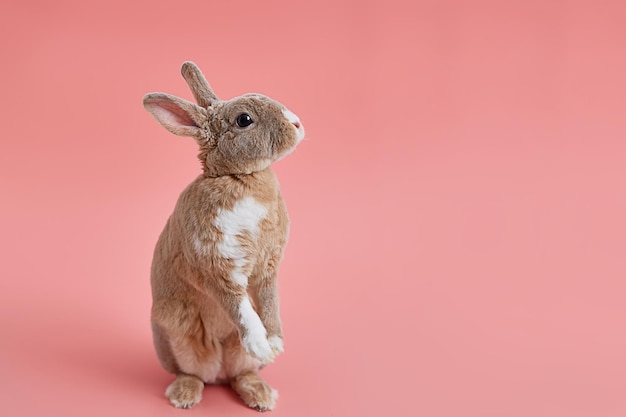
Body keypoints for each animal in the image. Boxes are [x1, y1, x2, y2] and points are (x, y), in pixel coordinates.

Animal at [144, 61, 304, 410]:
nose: (297, 123)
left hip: (233, 358)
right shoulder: (218, 269)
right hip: (176, 332)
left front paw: (275, 345)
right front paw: (261, 344)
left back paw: (261, 394)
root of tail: (218, 371)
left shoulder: (267, 269)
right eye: (244, 120)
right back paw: (184, 396)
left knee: (240, 374)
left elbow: (269, 303)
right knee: (192, 373)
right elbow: (243, 310)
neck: (241, 178)